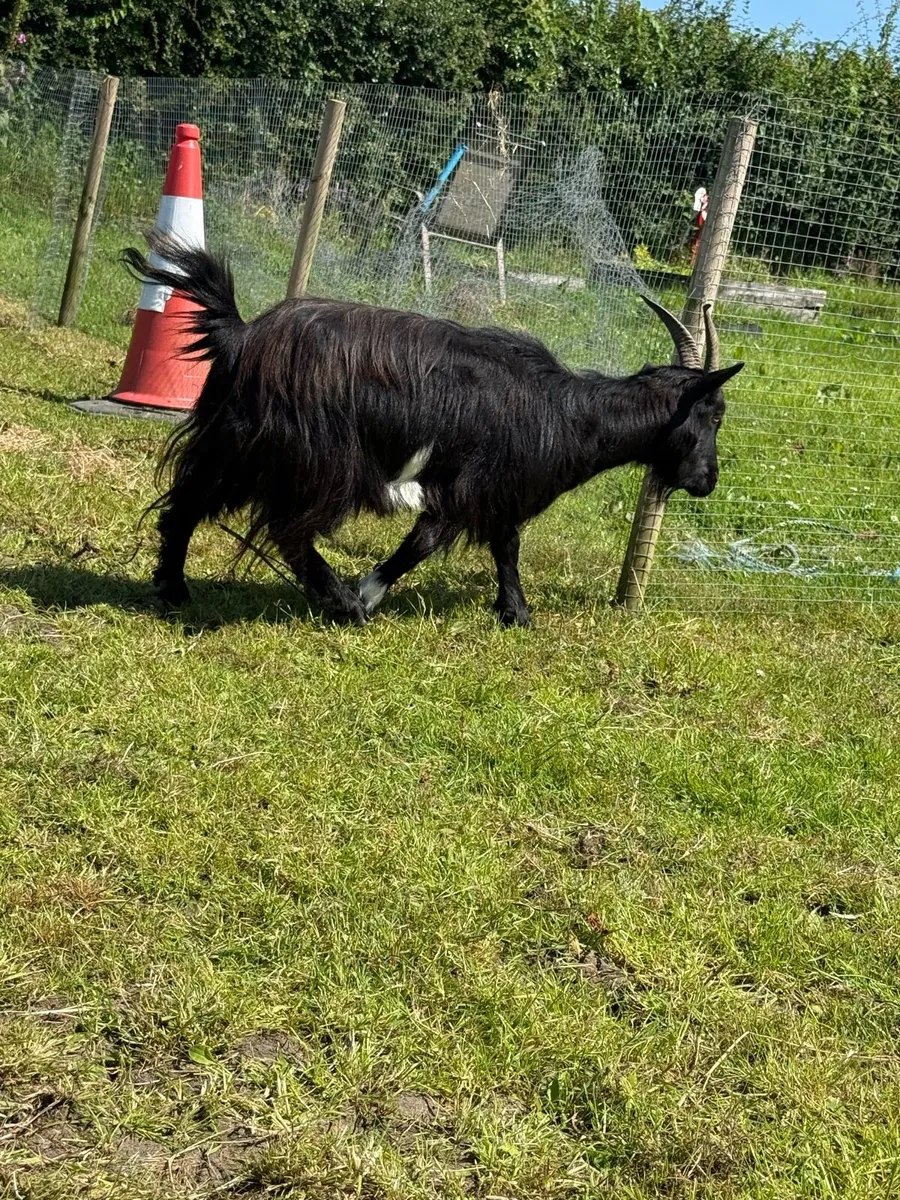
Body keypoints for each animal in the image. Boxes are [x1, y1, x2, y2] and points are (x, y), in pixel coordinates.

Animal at [124, 232, 743, 627]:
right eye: (714, 414)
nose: (708, 480)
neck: (569, 413)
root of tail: (241, 336)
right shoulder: (472, 483)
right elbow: (433, 543)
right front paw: (372, 593)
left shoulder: (490, 489)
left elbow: (502, 545)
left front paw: (512, 610)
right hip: (314, 457)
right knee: (287, 529)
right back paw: (343, 605)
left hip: (232, 445)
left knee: (184, 507)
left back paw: (173, 590)